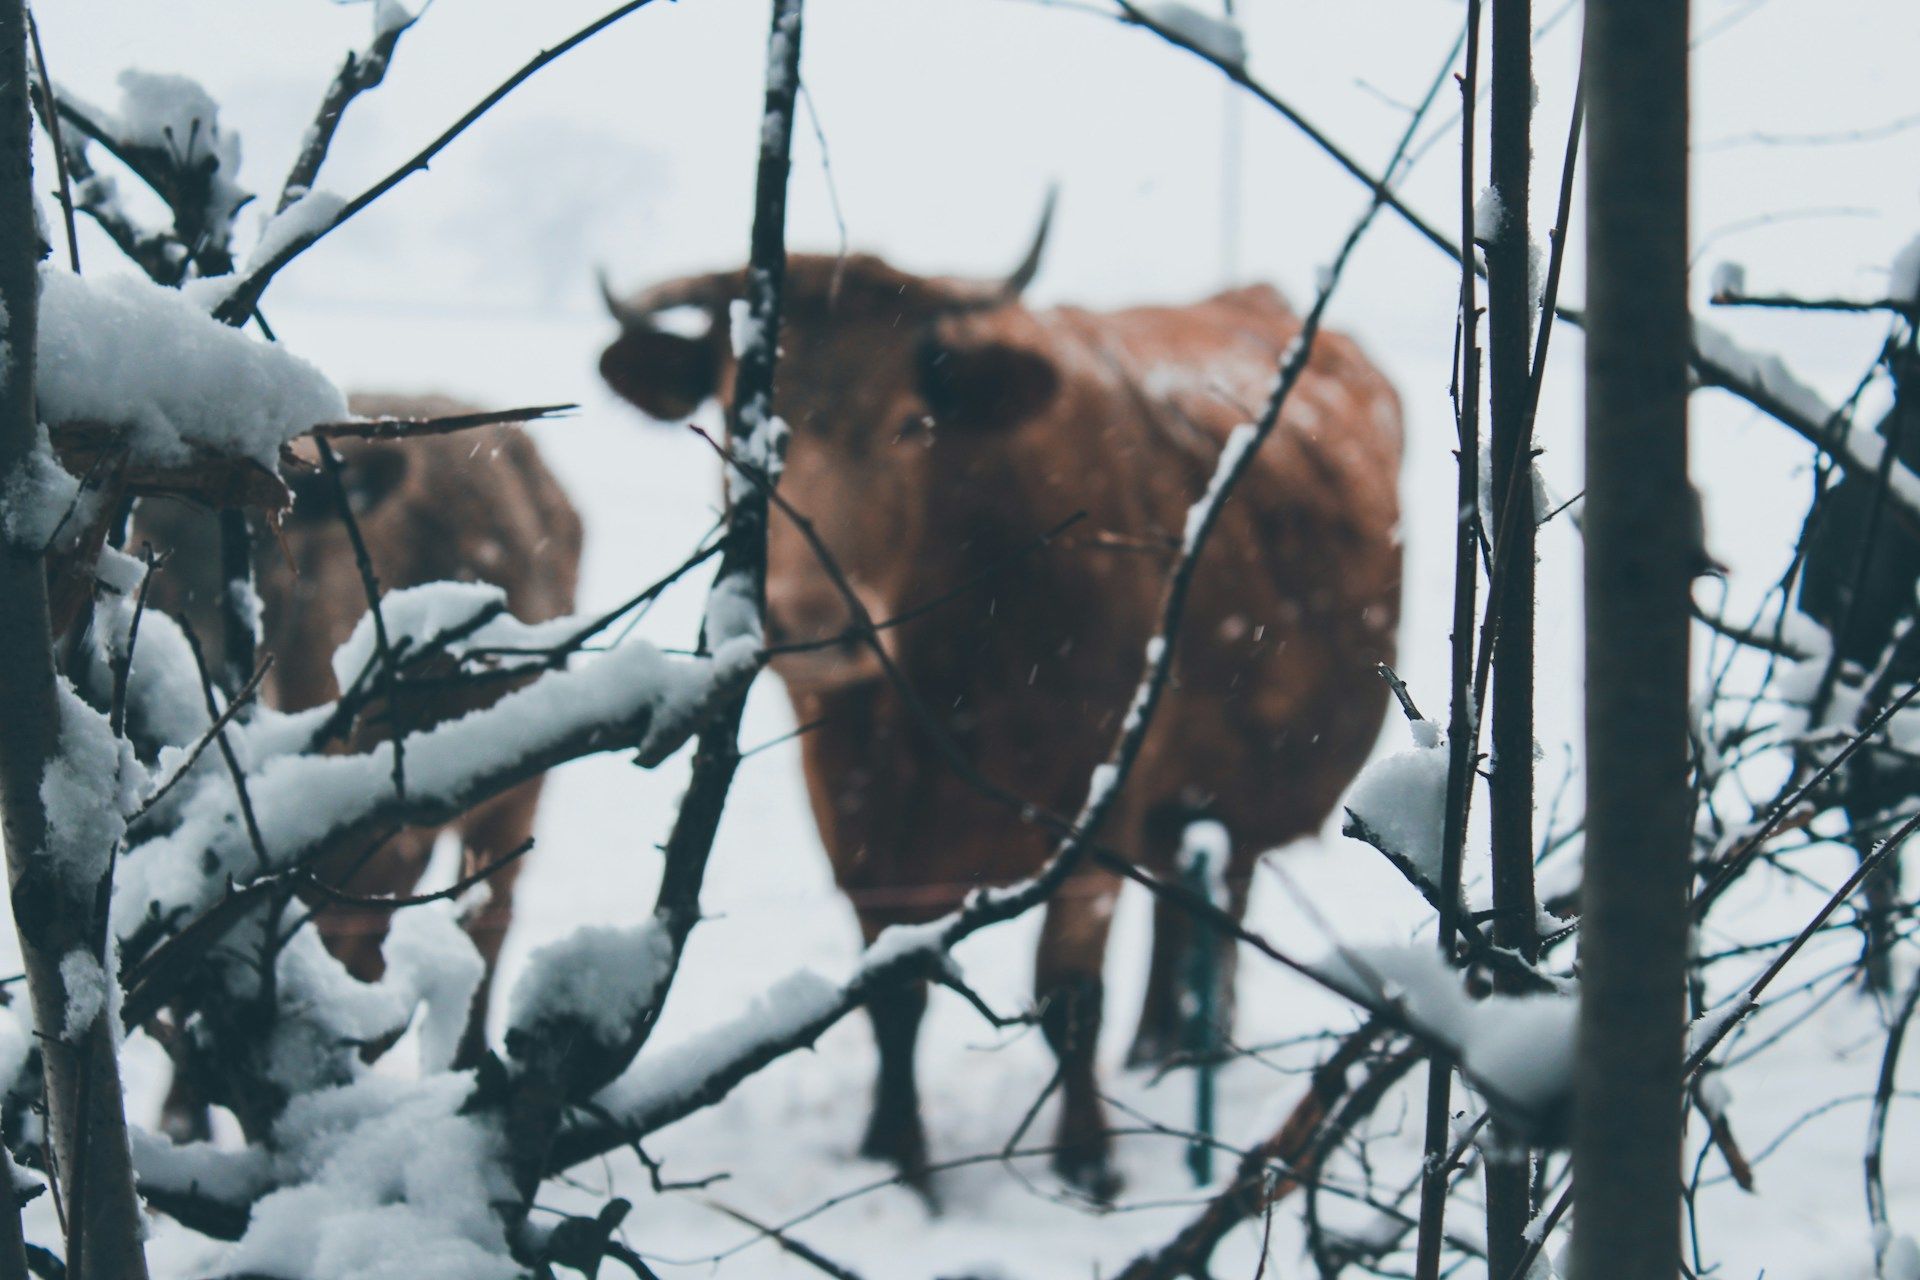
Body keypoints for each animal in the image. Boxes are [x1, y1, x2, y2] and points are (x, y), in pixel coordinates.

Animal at [606, 205, 1405, 1197]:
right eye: (737, 420)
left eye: (913, 424)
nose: (814, 621)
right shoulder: (854, 820)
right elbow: (892, 998)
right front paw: (898, 1158)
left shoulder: (1094, 811)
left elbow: (1068, 996)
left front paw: (1088, 1165)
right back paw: (1158, 1047)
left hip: (1236, 787)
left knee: (1217, 898)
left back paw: (1195, 1051)